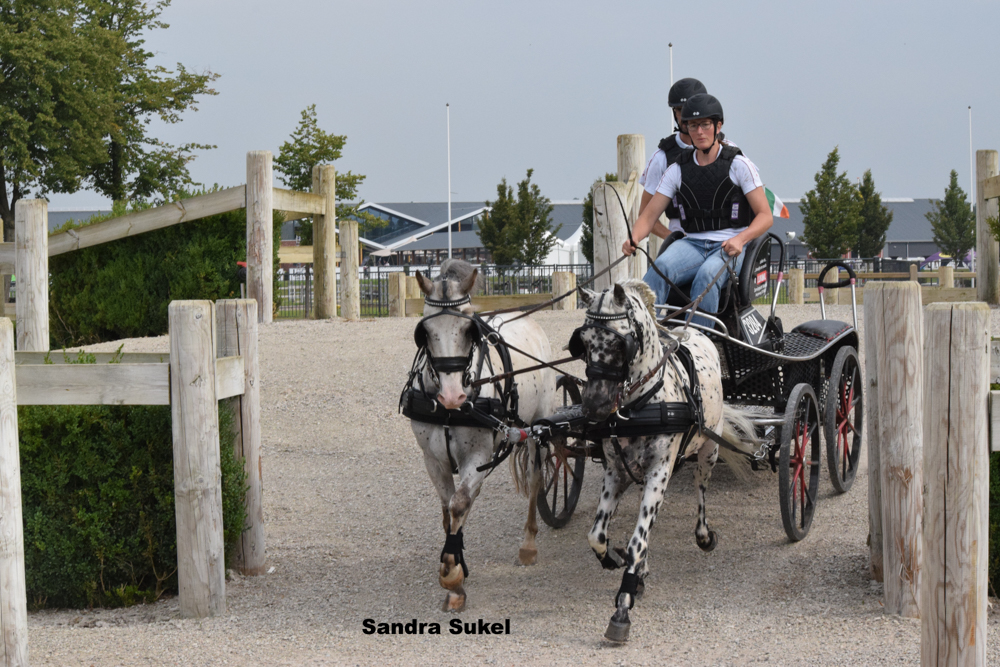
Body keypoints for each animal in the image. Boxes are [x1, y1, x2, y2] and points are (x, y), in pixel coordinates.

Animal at [572, 280, 756, 640]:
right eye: (582, 343)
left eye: (619, 342)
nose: (594, 407)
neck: (639, 405)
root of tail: (694, 332)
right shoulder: (616, 473)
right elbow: (597, 535)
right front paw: (614, 560)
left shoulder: (659, 473)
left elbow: (637, 542)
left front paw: (623, 606)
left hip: (708, 451)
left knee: (701, 491)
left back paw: (704, 535)